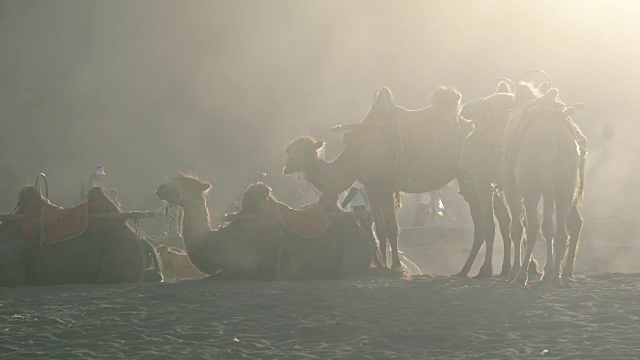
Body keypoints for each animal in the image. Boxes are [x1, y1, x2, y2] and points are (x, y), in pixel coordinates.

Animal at [156, 173, 376, 280]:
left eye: (187, 183)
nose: (161, 187)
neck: (217, 242)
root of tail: (365, 233)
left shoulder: (246, 268)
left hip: (352, 255)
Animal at [284, 86, 470, 268]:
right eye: (290, 150)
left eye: (300, 151)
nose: (286, 166)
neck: (355, 157)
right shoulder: (370, 187)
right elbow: (380, 227)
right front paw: (383, 264)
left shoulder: (385, 186)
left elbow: (391, 226)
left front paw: (396, 265)